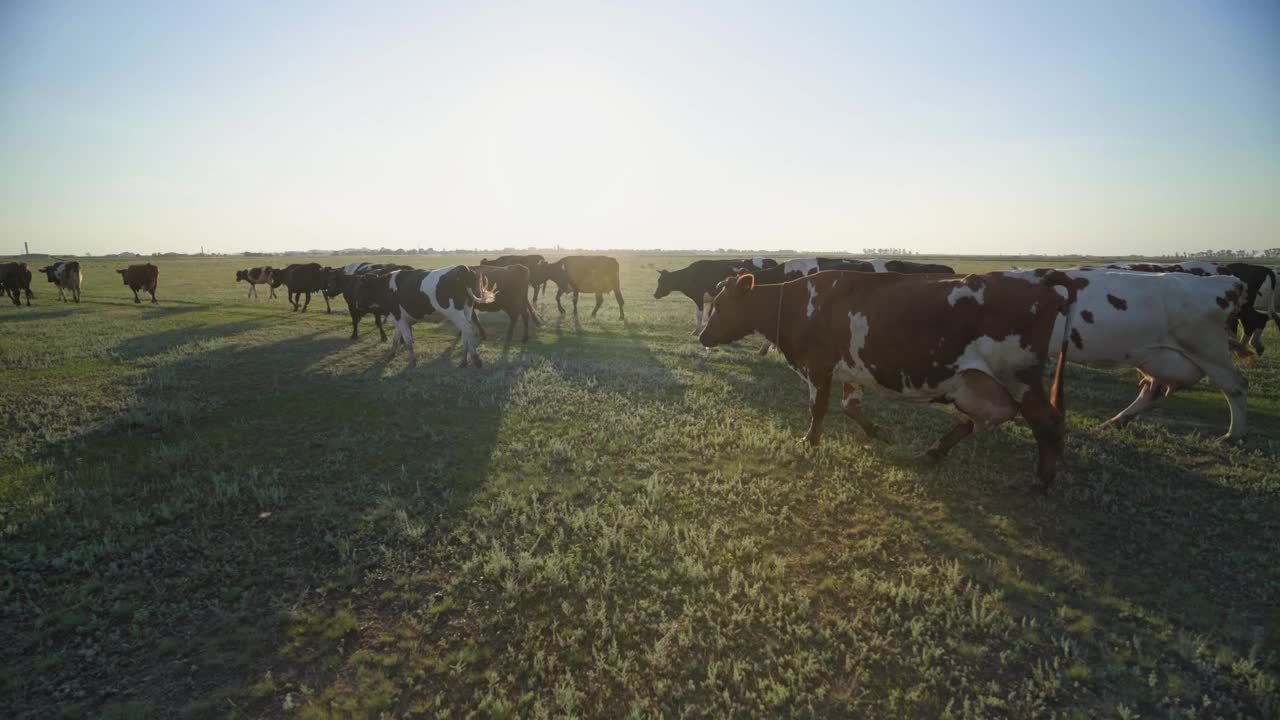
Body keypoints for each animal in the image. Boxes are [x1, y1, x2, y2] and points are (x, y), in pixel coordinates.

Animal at [355, 263, 494, 366]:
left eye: (361, 287)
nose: (357, 304)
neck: (386, 288)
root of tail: (461, 268)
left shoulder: (399, 318)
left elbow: (407, 340)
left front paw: (412, 361)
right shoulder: (399, 318)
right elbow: (395, 338)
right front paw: (390, 354)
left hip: (455, 313)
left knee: (468, 329)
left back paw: (475, 359)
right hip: (467, 309)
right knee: (465, 332)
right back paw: (463, 361)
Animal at [701, 270, 1080, 486]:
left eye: (720, 306)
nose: (702, 336)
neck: (799, 304)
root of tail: (1039, 283)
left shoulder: (819, 368)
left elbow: (817, 409)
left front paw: (809, 441)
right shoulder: (848, 369)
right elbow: (850, 407)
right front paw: (880, 433)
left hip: (1019, 377)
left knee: (1046, 422)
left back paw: (1044, 479)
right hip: (976, 383)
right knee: (984, 417)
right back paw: (933, 452)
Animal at [998, 266, 1249, 438]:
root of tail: (1227, 282)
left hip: (1210, 351)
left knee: (1236, 387)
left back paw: (1232, 435)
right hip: (1160, 357)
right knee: (1152, 391)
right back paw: (1114, 422)